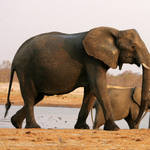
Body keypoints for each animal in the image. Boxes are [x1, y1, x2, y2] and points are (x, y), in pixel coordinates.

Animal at [4, 26, 150, 130]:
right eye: (133, 47)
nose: (135, 120)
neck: (117, 31)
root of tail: (15, 58)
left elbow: (91, 90)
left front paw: (82, 128)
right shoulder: (91, 59)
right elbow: (98, 86)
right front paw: (114, 129)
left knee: (37, 96)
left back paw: (16, 123)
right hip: (25, 69)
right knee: (30, 95)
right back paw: (34, 127)